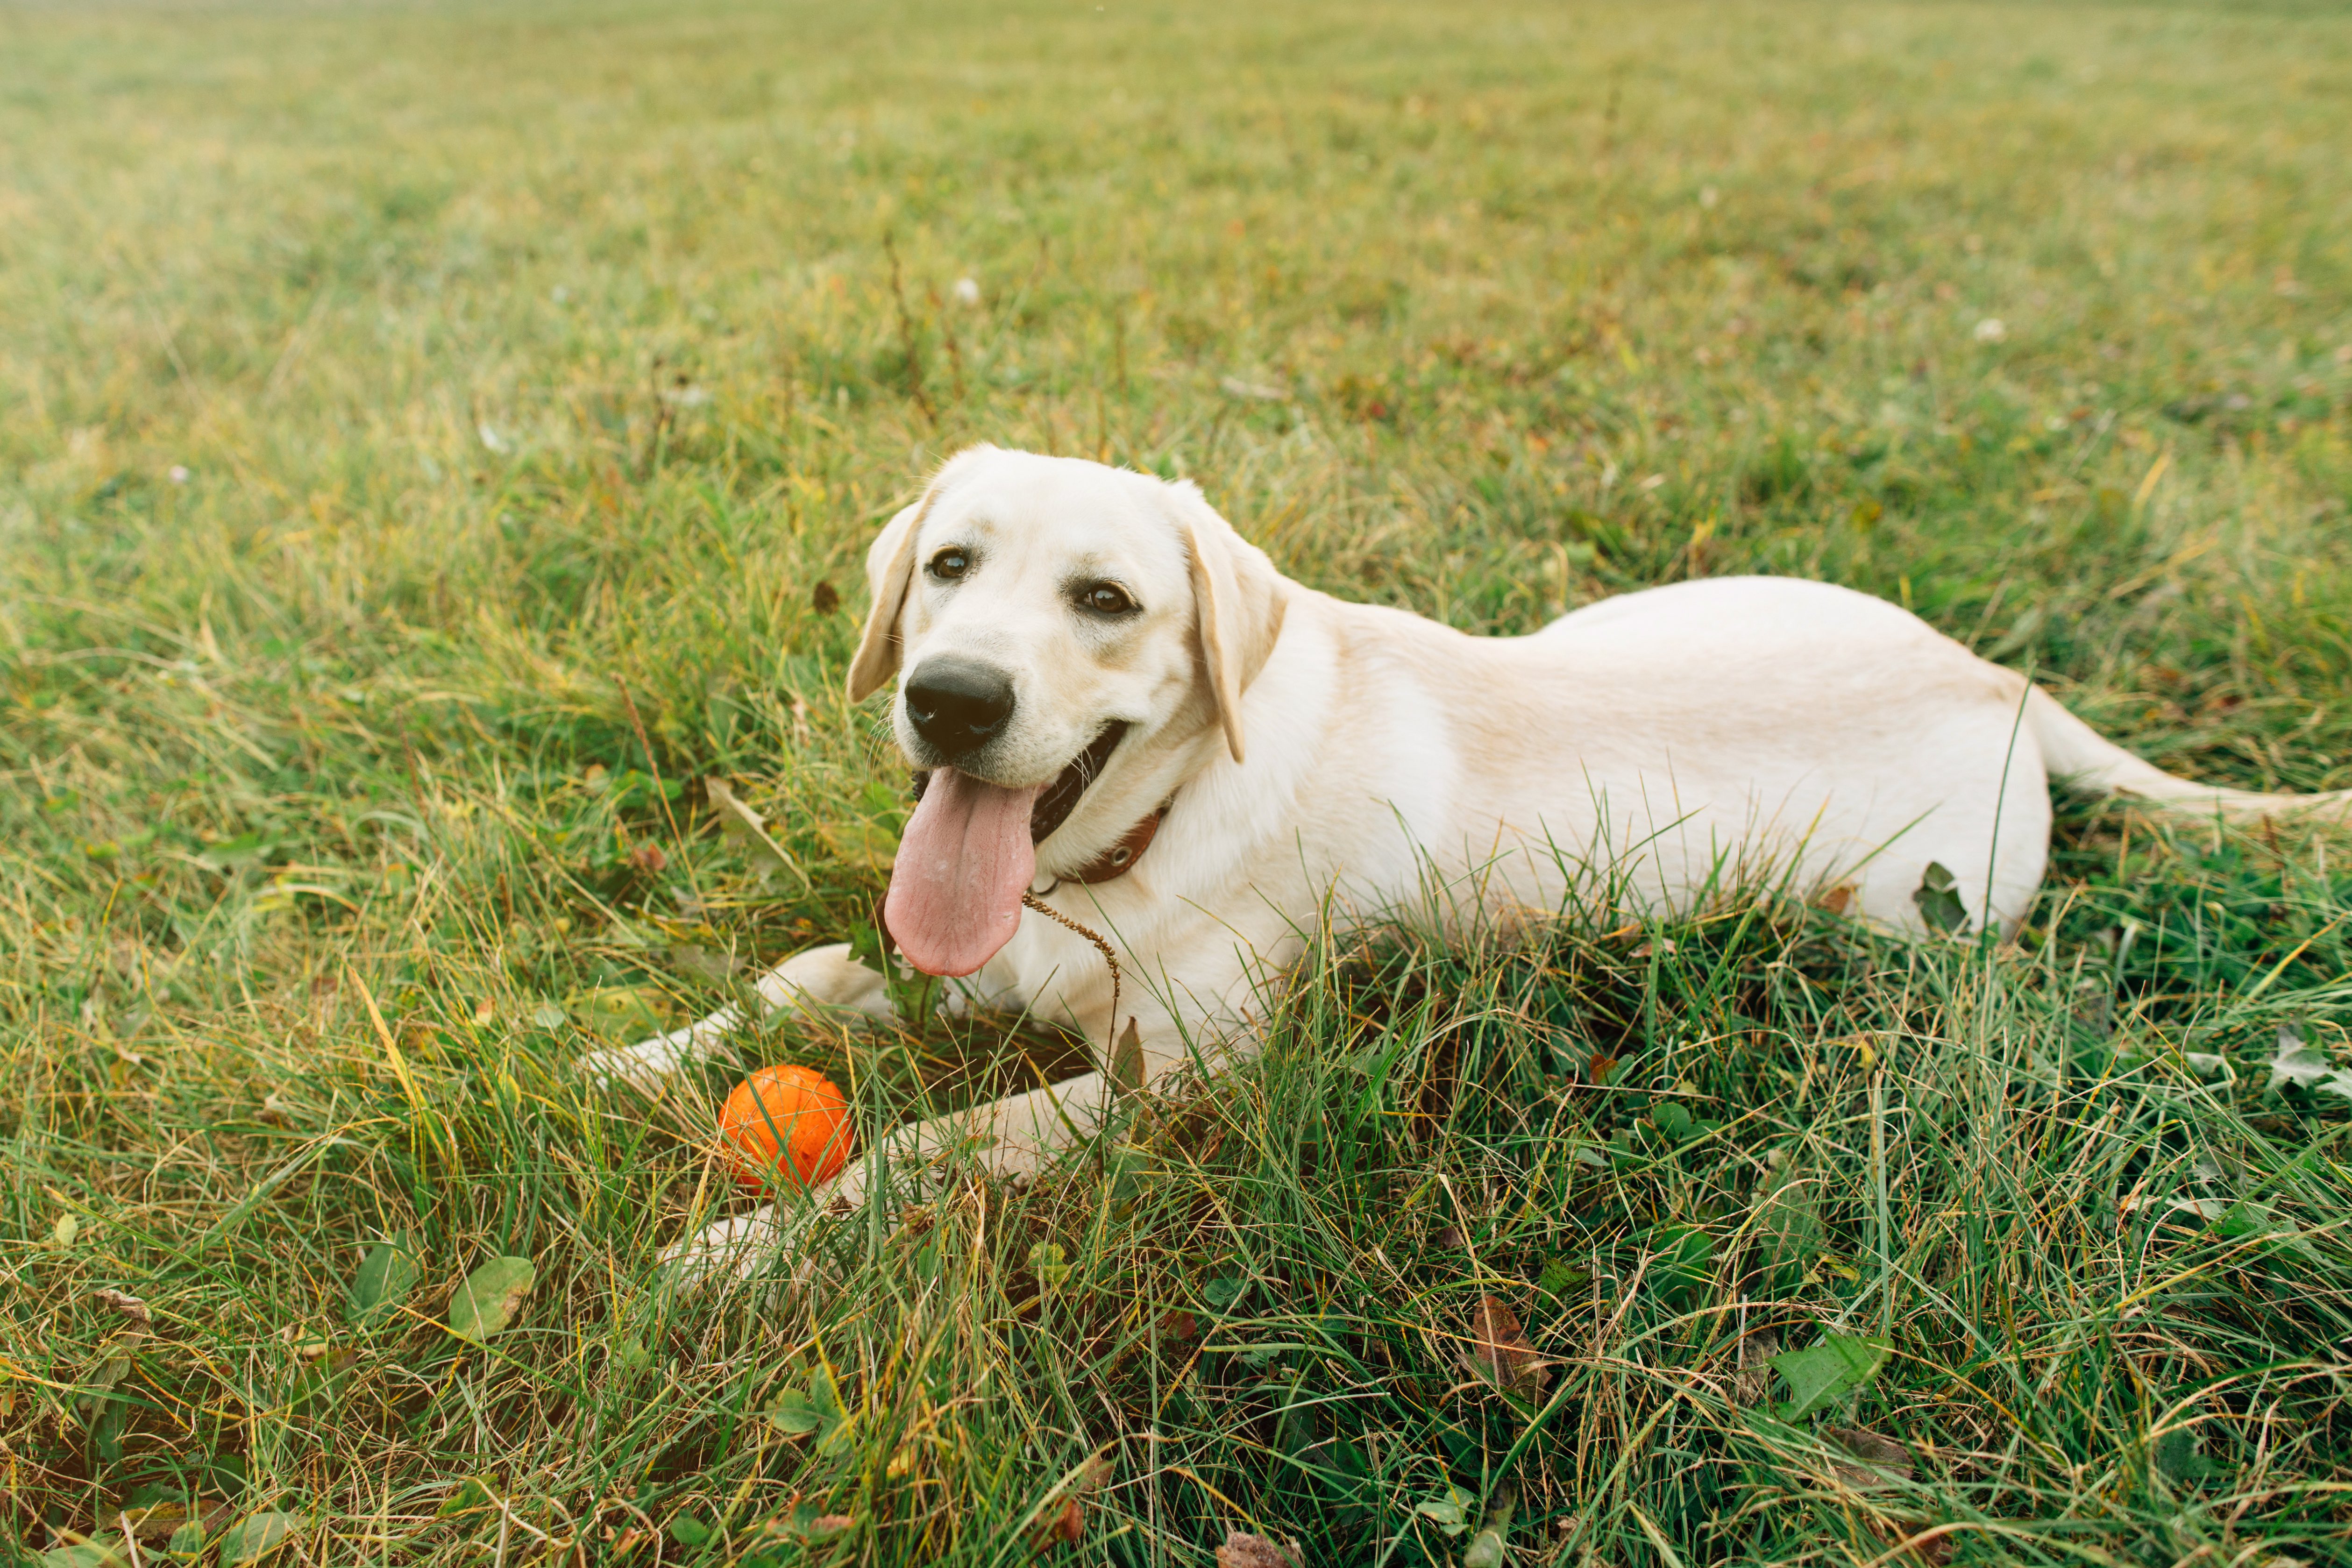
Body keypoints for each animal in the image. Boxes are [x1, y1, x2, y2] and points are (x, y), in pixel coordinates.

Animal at [583, 444, 2333, 1288]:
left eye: (1106, 601)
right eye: (947, 566)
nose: (949, 699)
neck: (1122, 849)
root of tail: (2001, 680)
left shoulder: (1176, 1084)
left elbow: (925, 1148)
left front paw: (742, 1251)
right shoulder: (974, 952)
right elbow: (807, 975)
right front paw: (620, 1057)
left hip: (1898, 920)